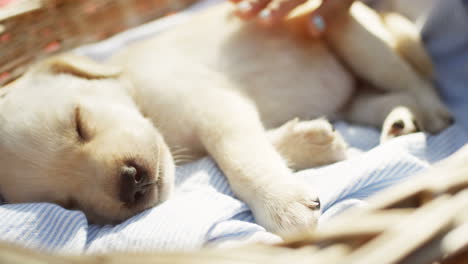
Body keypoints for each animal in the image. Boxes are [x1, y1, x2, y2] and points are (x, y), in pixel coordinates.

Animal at [0, 1, 456, 234]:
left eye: (79, 124)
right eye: (68, 203)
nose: (129, 184)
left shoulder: (214, 106)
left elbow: (239, 156)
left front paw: (281, 203)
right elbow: (257, 144)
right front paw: (310, 142)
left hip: (351, 34)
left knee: (419, 83)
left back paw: (430, 114)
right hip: (355, 95)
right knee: (382, 99)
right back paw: (399, 121)